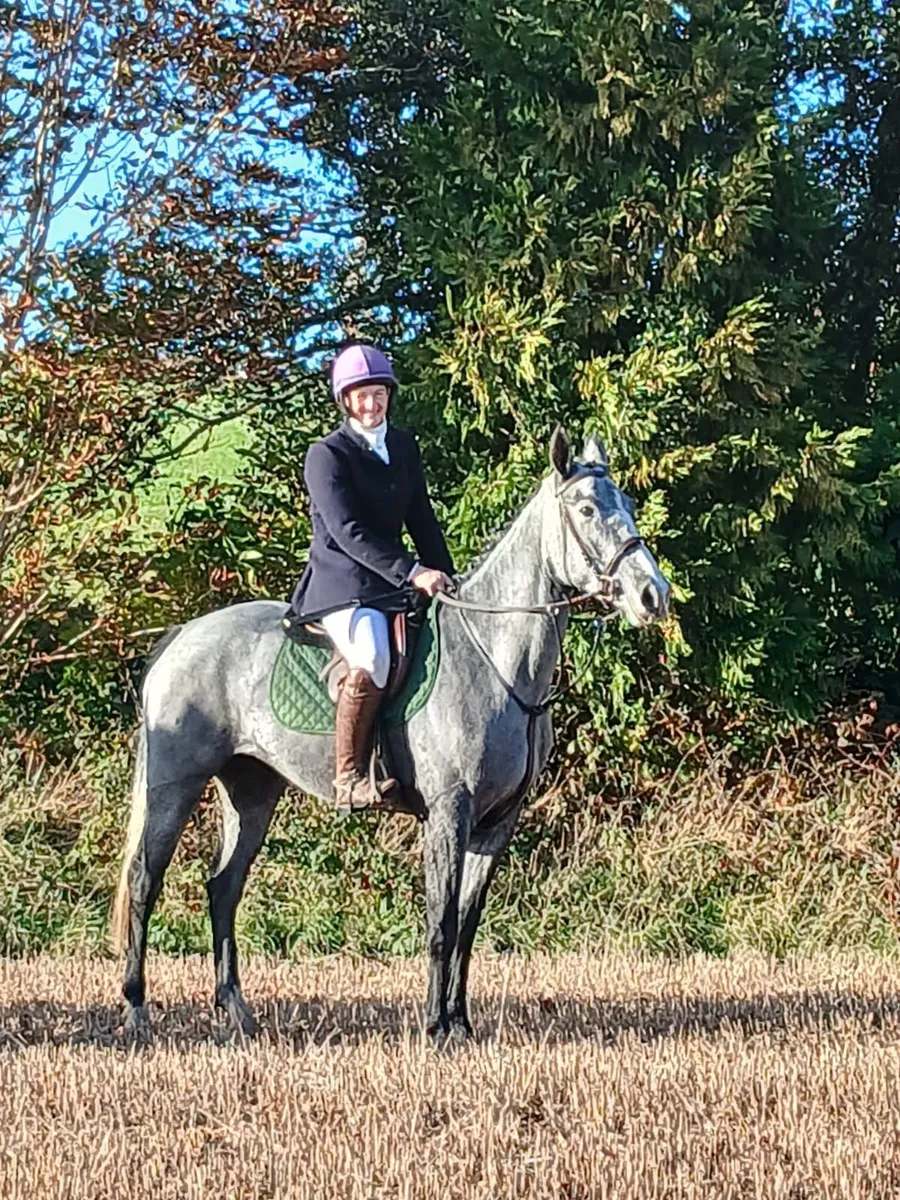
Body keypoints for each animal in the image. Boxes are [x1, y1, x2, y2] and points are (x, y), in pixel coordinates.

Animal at [111, 425, 670, 1042]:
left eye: (630, 505)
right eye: (588, 509)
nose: (653, 596)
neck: (496, 660)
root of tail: (183, 634)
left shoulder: (497, 822)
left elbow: (467, 925)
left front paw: (461, 1024)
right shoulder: (450, 811)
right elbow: (440, 923)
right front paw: (435, 1028)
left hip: (252, 791)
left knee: (224, 887)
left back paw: (236, 1011)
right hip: (175, 784)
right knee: (144, 880)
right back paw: (136, 1010)